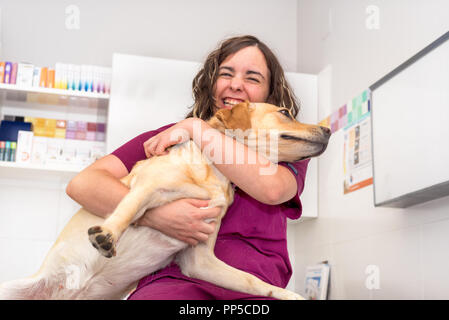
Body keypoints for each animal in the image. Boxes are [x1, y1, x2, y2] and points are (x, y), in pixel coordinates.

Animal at [0, 102, 328, 300]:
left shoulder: (200, 260)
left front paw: (288, 295)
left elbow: (252, 281)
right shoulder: (147, 186)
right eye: (285, 112)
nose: (327, 129)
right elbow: (128, 209)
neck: (216, 172)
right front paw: (107, 235)